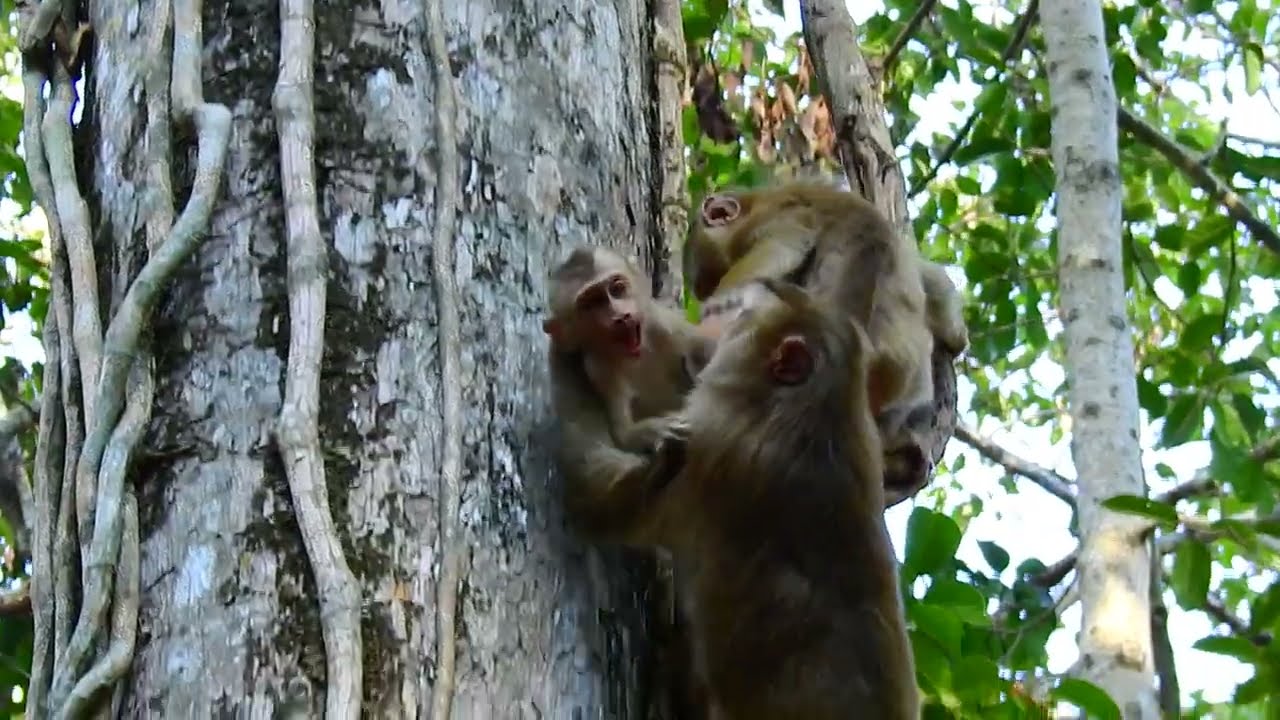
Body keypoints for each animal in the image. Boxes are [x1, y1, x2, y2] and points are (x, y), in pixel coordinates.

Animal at [543, 245, 715, 455]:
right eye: (592, 302)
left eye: (617, 289)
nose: (621, 316)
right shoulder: (598, 367)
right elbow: (623, 436)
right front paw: (656, 431)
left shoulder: (663, 325)